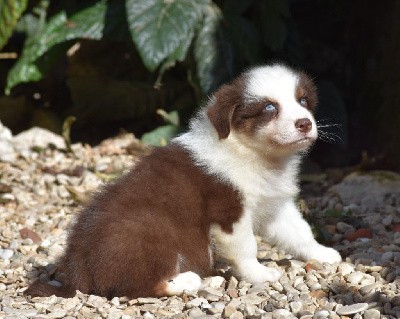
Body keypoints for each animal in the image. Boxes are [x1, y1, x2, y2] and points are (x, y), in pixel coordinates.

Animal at [25, 64, 340, 300]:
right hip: (149, 227)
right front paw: (260, 274)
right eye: (269, 108)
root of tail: (77, 268)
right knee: (138, 286)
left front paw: (324, 254)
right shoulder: (230, 213)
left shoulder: (275, 205)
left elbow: (300, 232)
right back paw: (188, 280)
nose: (305, 123)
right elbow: (246, 247)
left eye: (302, 101)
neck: (257, 154)